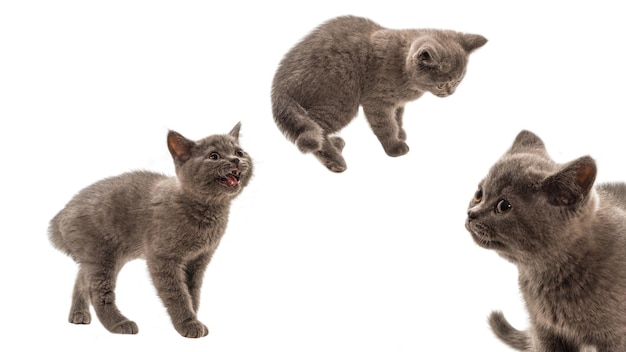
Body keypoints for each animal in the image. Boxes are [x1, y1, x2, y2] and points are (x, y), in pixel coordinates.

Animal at [48, 124, 252, 338]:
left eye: (239, 152)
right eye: (214, 156)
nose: (236, 160)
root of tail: (60, 217)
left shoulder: (199, 260)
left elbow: (192, 292)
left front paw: (194, 318)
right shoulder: (163, 258)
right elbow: (177, 293)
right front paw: (188, 323)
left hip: (105, 256)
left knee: (82, 279)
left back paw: (78, 315)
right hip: (100, 253)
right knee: (98, 292)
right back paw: (120, 323)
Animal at [270, 15, 486, 173]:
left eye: (458, 81)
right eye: (442, 85)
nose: (451, 92)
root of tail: (279, 84)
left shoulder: (397, 103)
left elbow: (397, 118)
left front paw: (401, 133)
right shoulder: (377, 101)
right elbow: (386, 125)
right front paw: (395, 146)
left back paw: (336, 143)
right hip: (342, 98)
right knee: (313, 128)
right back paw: (334, 161)